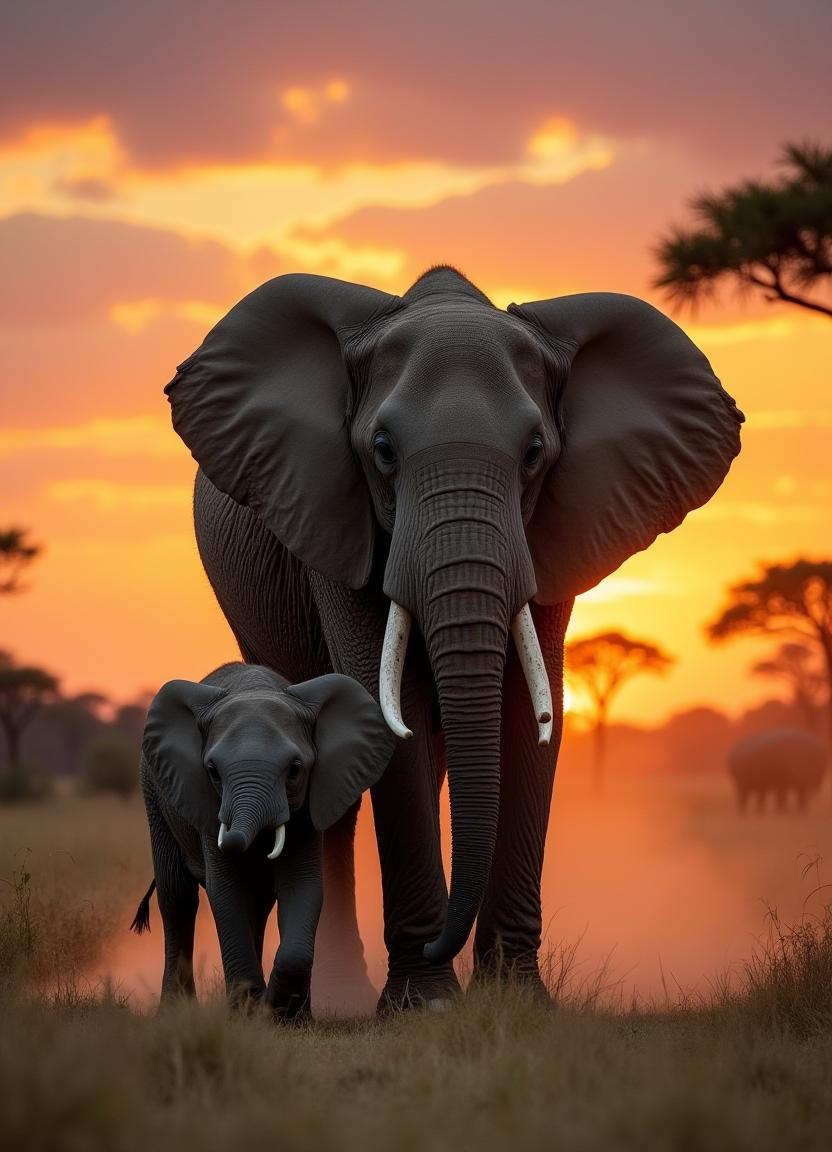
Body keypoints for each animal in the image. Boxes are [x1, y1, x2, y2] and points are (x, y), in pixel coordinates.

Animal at [131, 662, 390, 1017]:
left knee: (258, 904)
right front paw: (250, 1013)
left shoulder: (307, 811)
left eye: (295, 770)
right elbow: (227, 890)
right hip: (155, 797)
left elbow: (302, 887)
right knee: (177, 896)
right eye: (212, 771)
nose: (248, 846)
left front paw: (285, 1015)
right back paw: (175, 1011)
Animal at [164, 265, 743, 1010]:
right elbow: (389, 706)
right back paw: (343, 991)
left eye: (534, 454)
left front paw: (518, 999)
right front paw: (427, 1003)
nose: (448, 945)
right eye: (382, 452)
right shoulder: (334, 517)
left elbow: (529, 709)